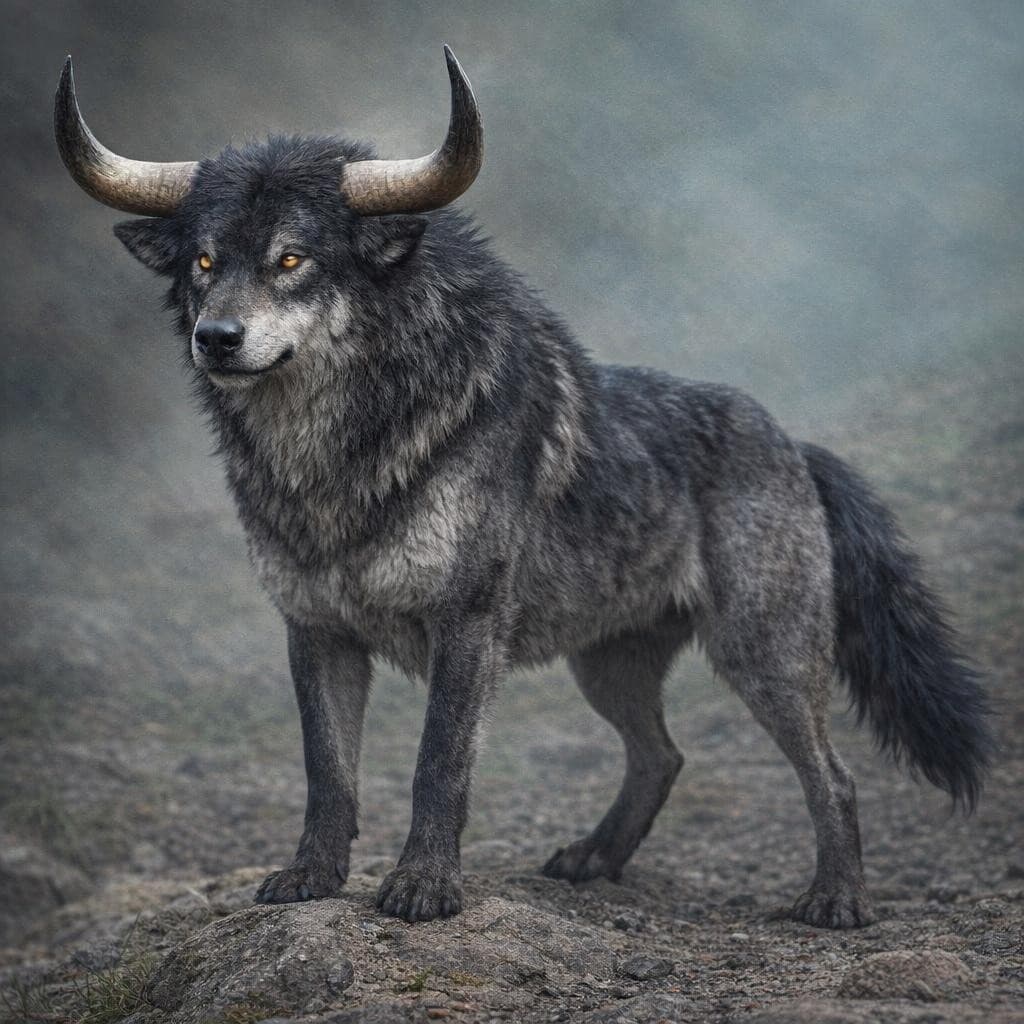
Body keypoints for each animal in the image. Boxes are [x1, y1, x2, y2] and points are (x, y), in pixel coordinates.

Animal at [55, 48, 991, 928]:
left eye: (292, 258)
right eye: (204, 261)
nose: (216, 338)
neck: (336, 465)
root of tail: (795, 443)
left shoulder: (465, 624)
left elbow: (438, 765)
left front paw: (424, 889)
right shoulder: (315, 631)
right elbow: (328, 772)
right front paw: (311, 878)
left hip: (763, 658)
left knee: (832, 776)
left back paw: (836, 902)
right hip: (607, 667)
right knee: (663, 756)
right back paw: (593, 861)